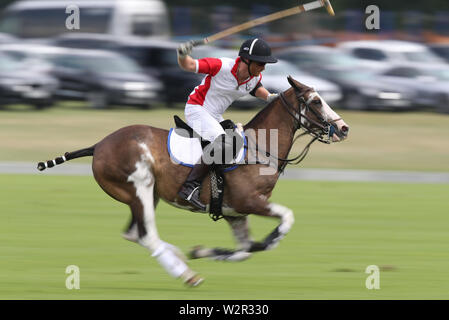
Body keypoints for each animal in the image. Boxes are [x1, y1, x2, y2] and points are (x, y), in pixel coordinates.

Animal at [36, 77, 348, 288]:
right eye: (316, 101)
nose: (344, 128)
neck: (260, 148)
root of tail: (98, 145)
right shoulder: (250, 202)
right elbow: (283, 221)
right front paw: (269, 238)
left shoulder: (235, 214)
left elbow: (246, 250)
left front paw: (204, 252)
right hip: (139, 187)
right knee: (146, 234)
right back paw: (187, 274)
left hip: (146, 195)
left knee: (134, 233)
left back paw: (179, 257)